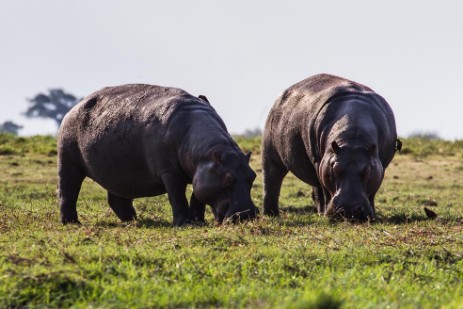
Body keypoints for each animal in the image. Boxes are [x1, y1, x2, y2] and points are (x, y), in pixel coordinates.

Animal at [58, 83, 260, 225]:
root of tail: (75, 106)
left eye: (253, 175)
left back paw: (132, 219)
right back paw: (71, 222)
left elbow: (197, 198)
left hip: (118, 173)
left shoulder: (201, 173)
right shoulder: (169, 172)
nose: (247, 215)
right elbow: (177, 197)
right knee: (68, 190)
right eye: (228, 178)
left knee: (117, 197)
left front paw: (198, 221)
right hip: (68, 161)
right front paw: (184, 223)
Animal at [262, 73, 400, 220]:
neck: (353, 137)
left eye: (366, 171)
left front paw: (372, 217)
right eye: (335, 169)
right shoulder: (321, 164)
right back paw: (271, 214)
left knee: (315, 189)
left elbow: (373, 192)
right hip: (271, 154)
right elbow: (325, 191)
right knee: (271, 183)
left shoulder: (380, 167)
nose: (348, 209)